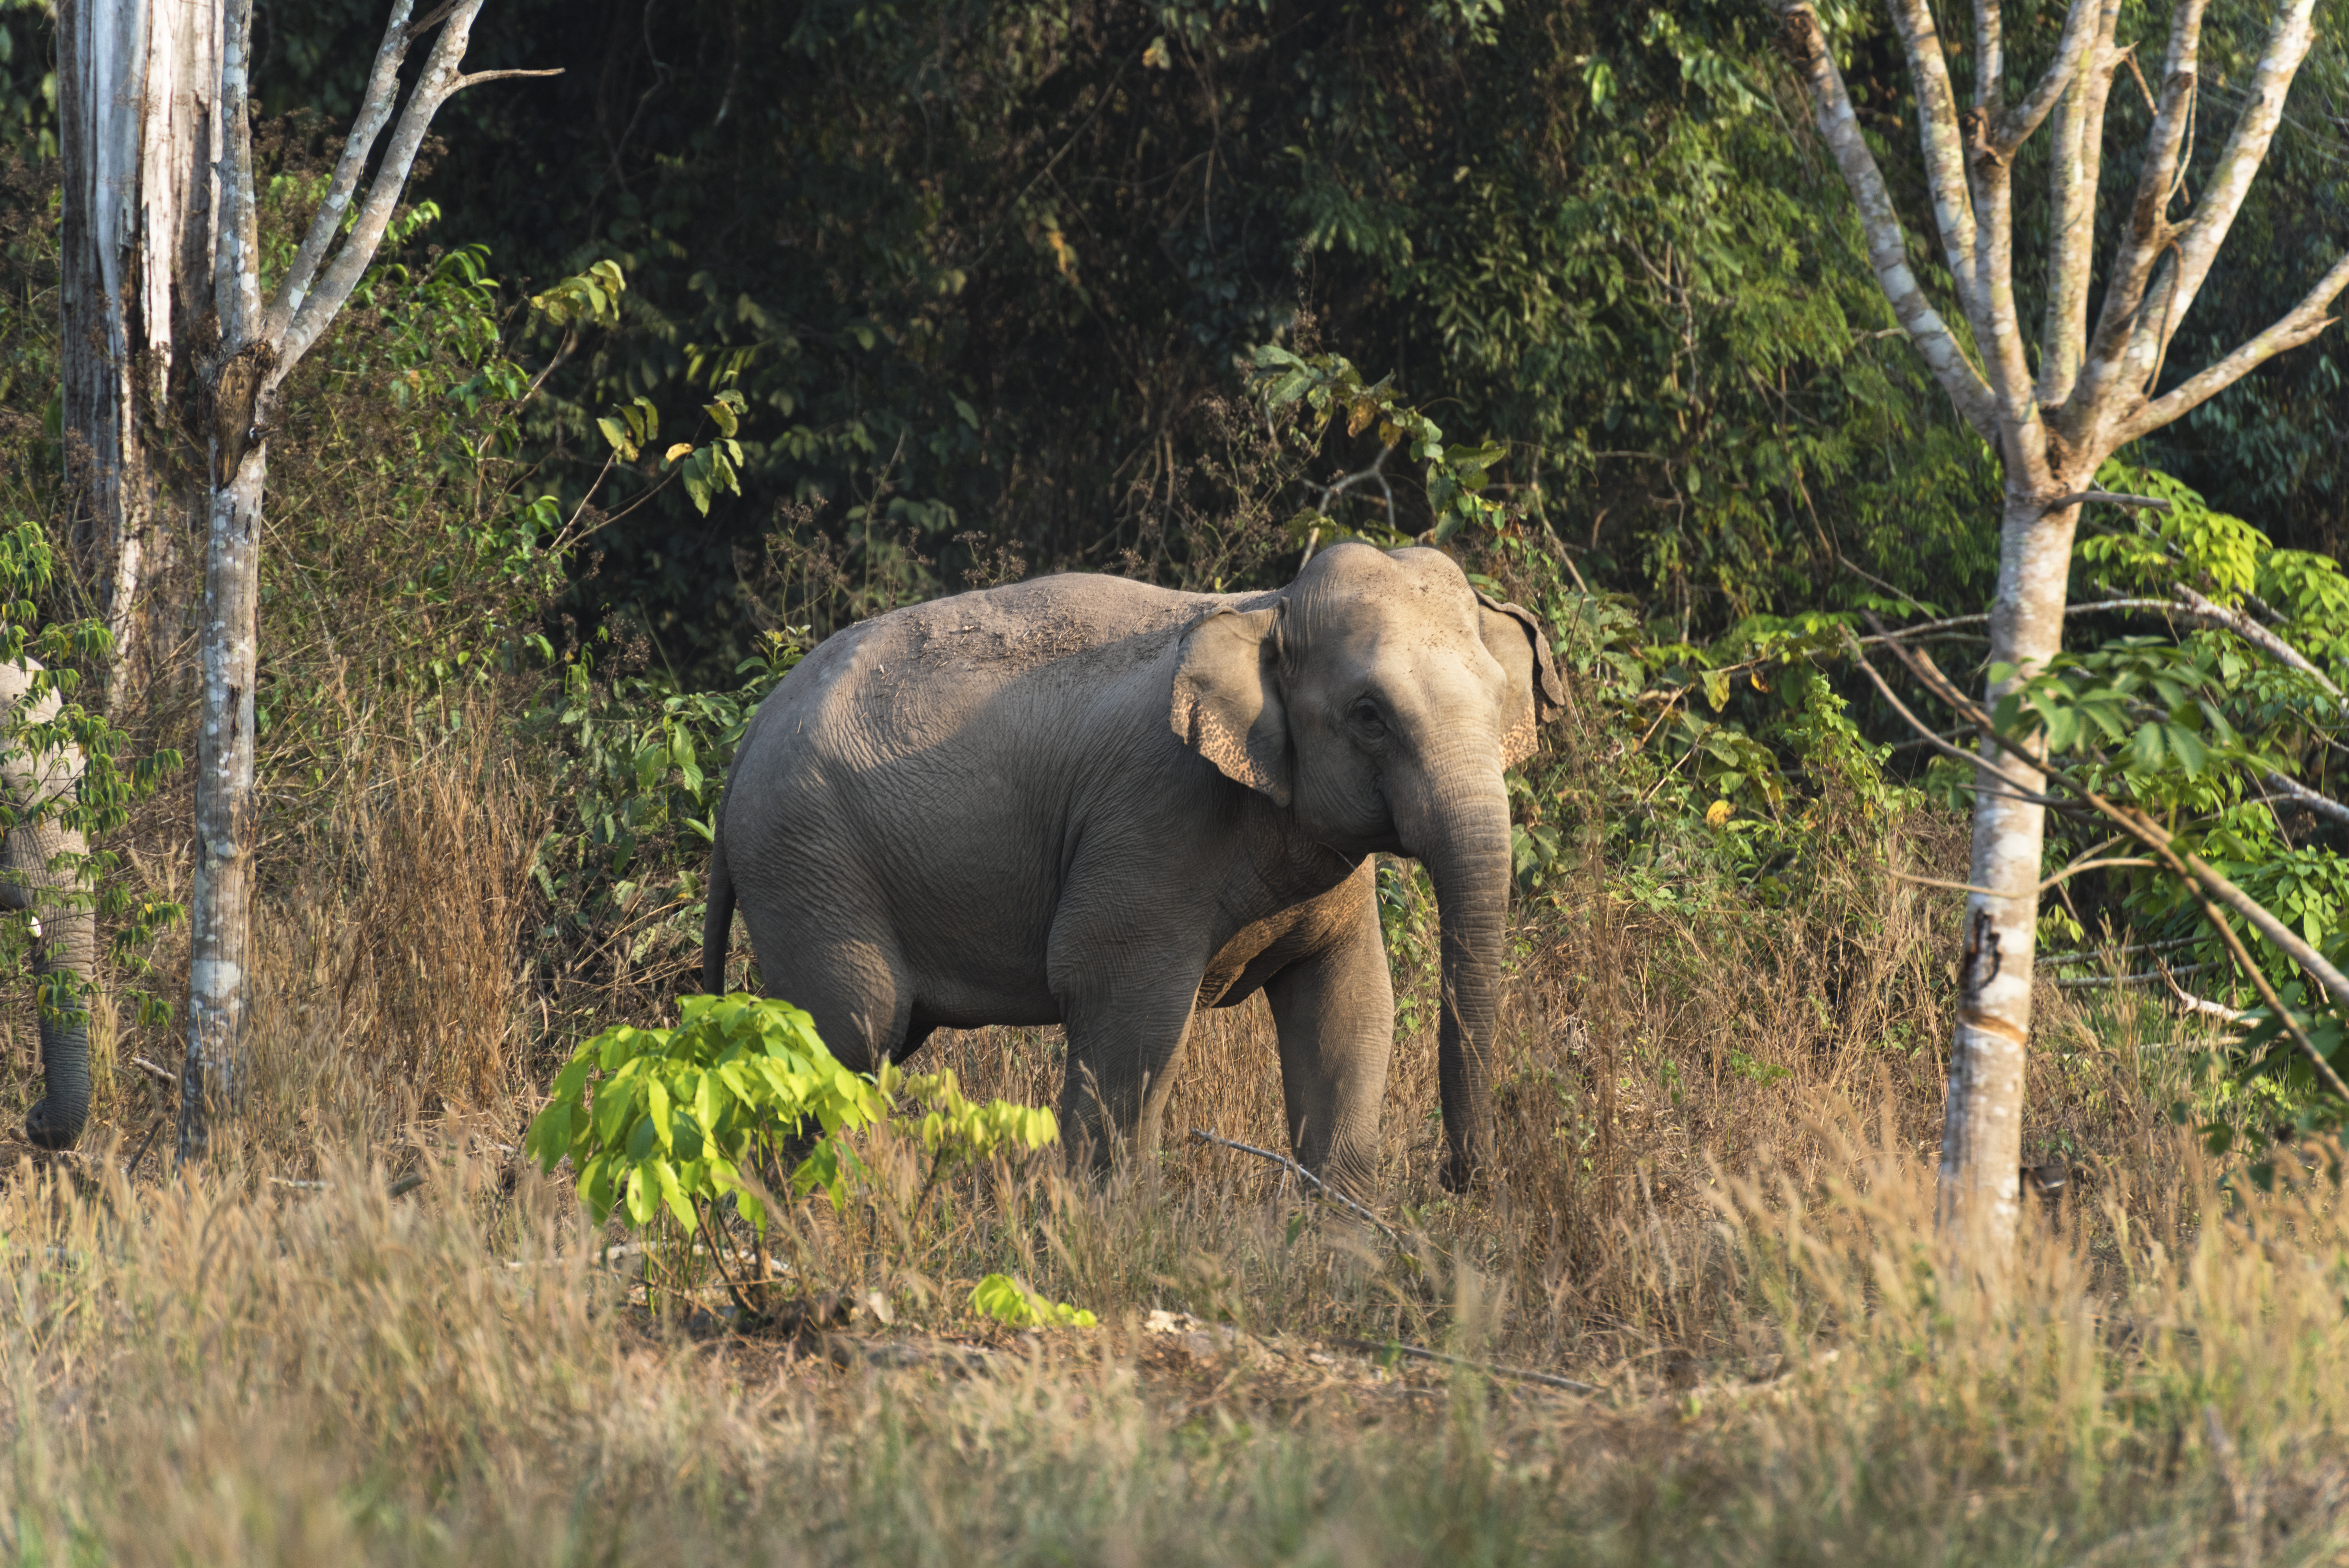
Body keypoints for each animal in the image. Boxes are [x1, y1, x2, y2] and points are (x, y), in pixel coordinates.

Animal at [700, 542, 1564, 1189]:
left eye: (1501, 701)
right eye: (1369, 717)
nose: (1462, 1177)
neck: (1267, 605)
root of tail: (743, 746)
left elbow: (1349, 1005)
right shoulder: (1150, 818)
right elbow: (1119, 1003)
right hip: (808, 861)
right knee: (849, 1035)